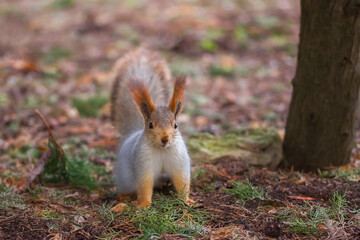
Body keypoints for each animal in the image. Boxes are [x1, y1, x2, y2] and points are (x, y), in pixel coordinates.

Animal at [109, 48, 194, 206]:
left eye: (175, 125)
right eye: (150, 125)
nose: (165, 139)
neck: (162, 150)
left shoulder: (179, 161)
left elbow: (182, 181)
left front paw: (186, 200)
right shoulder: (143, 163)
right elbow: (144, 185)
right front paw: (144, 205)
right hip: (125, 179)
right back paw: (124, 196)